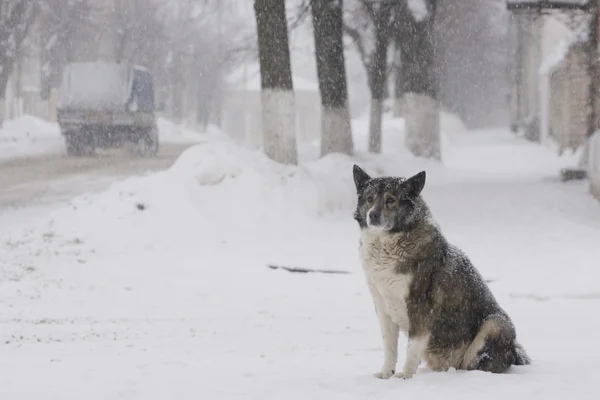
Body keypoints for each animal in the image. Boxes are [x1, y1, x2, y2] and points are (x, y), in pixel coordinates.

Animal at [352, 165, 528, 378]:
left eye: (391, 200)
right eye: (369, 198)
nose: (373, 215)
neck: (388, 244)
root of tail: (514, 352)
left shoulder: (419, 306)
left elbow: (412, 347)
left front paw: (406, 375)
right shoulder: (382, 307)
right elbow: (389, 346)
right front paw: (387, 373)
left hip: (495, 323)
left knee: (475, 364)